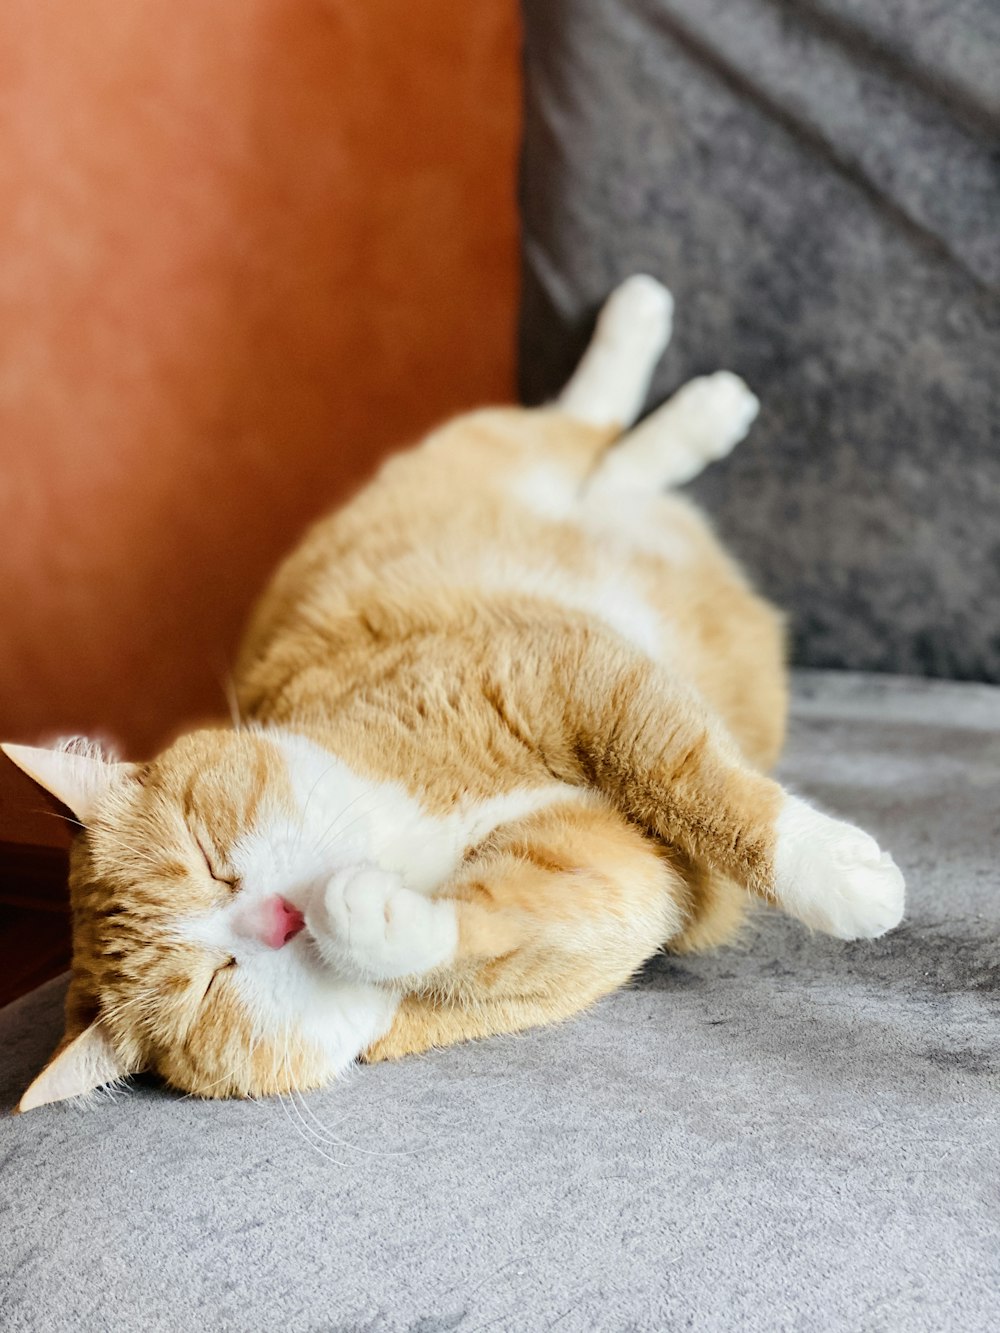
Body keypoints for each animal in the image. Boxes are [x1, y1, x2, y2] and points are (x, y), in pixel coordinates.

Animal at [3, 275, 906, 1109]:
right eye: (210, 983)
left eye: (208, 854)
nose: (277, 918)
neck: (399, 832)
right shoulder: (612, 879)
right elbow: (486, 941)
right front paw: (368, 919)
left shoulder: (569, 678)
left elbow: (698, 787)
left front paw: (841, 876)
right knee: (611, 461)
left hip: (490, 462)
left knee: (588, 432)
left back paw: (668, 360)